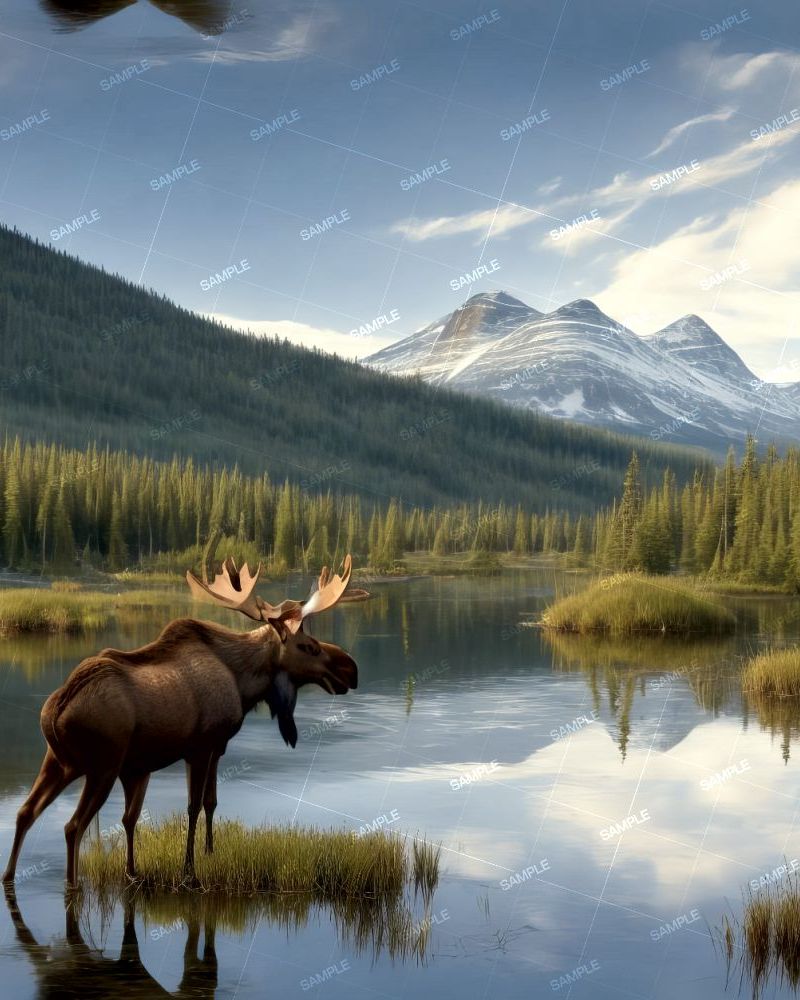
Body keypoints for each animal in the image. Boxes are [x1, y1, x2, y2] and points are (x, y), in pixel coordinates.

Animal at [2, 555, 368, 889]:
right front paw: (189, 871)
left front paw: (204, 854)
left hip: (58, 761)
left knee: (24, 813)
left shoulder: (215, 748)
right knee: (72, 827)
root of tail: (56, 710)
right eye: (309, 647)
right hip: (101, 767)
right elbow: (192, 808)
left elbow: (208, 803)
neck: (243, 682)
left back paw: (9, 876)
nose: (352, 669)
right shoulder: (200, 747)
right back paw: (71, 885)